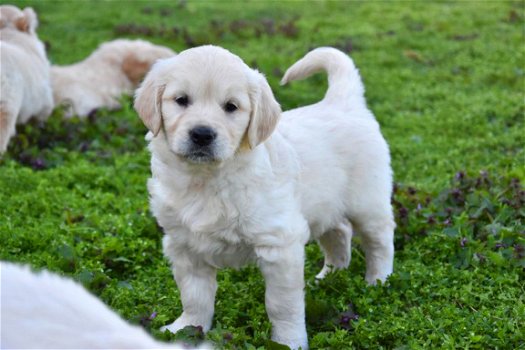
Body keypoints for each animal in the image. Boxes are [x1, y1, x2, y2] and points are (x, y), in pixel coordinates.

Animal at [134, 45, 392, 350]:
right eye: (181, 100)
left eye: (231, 106)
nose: (202, 134)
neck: (207, 179)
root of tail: (342, 102)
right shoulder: (184, 245)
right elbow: (194, 296)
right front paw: (185, 329)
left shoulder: (279, 245)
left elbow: (282, 305)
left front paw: (289, 342)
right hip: (324, 206)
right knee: (339, 231)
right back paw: (328, 277)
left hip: (368, 202)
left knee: (379, 241)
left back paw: (378, 282)